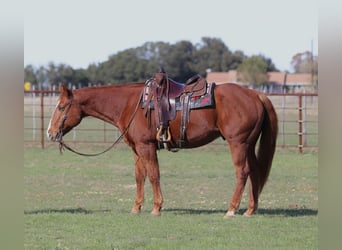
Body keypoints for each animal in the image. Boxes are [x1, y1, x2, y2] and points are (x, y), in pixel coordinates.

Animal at [47, 82, 278, 217]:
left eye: (61, 107)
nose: (50, 132)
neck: (130, 104)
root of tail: (255, 94)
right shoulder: (136, 149)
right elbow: (139, 176)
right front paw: (136, 207)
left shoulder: (146, 146)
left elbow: (153, 175)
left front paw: (156, 207)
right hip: (248, 144)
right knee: (255, 172)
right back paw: (250, 210)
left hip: (238, 143)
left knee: (242, 172)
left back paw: (231, 209)